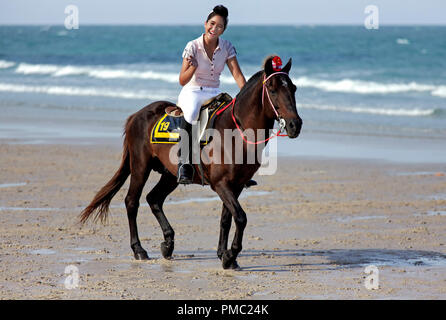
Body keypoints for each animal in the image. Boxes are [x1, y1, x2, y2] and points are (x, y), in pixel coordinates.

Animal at [80, 56, 304, 268]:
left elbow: (226, 218)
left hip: (171, 175)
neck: (235, 131)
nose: (295, 124)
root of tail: (137, 115)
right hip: (140, 167)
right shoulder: (221, 184)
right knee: (132, 202)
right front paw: (230, 255)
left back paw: (168, 243)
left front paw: (224, 254)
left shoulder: (236, 185)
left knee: (154, 199)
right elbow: (240, 217)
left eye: (293, 88)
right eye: (272, 90)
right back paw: (139, 249)